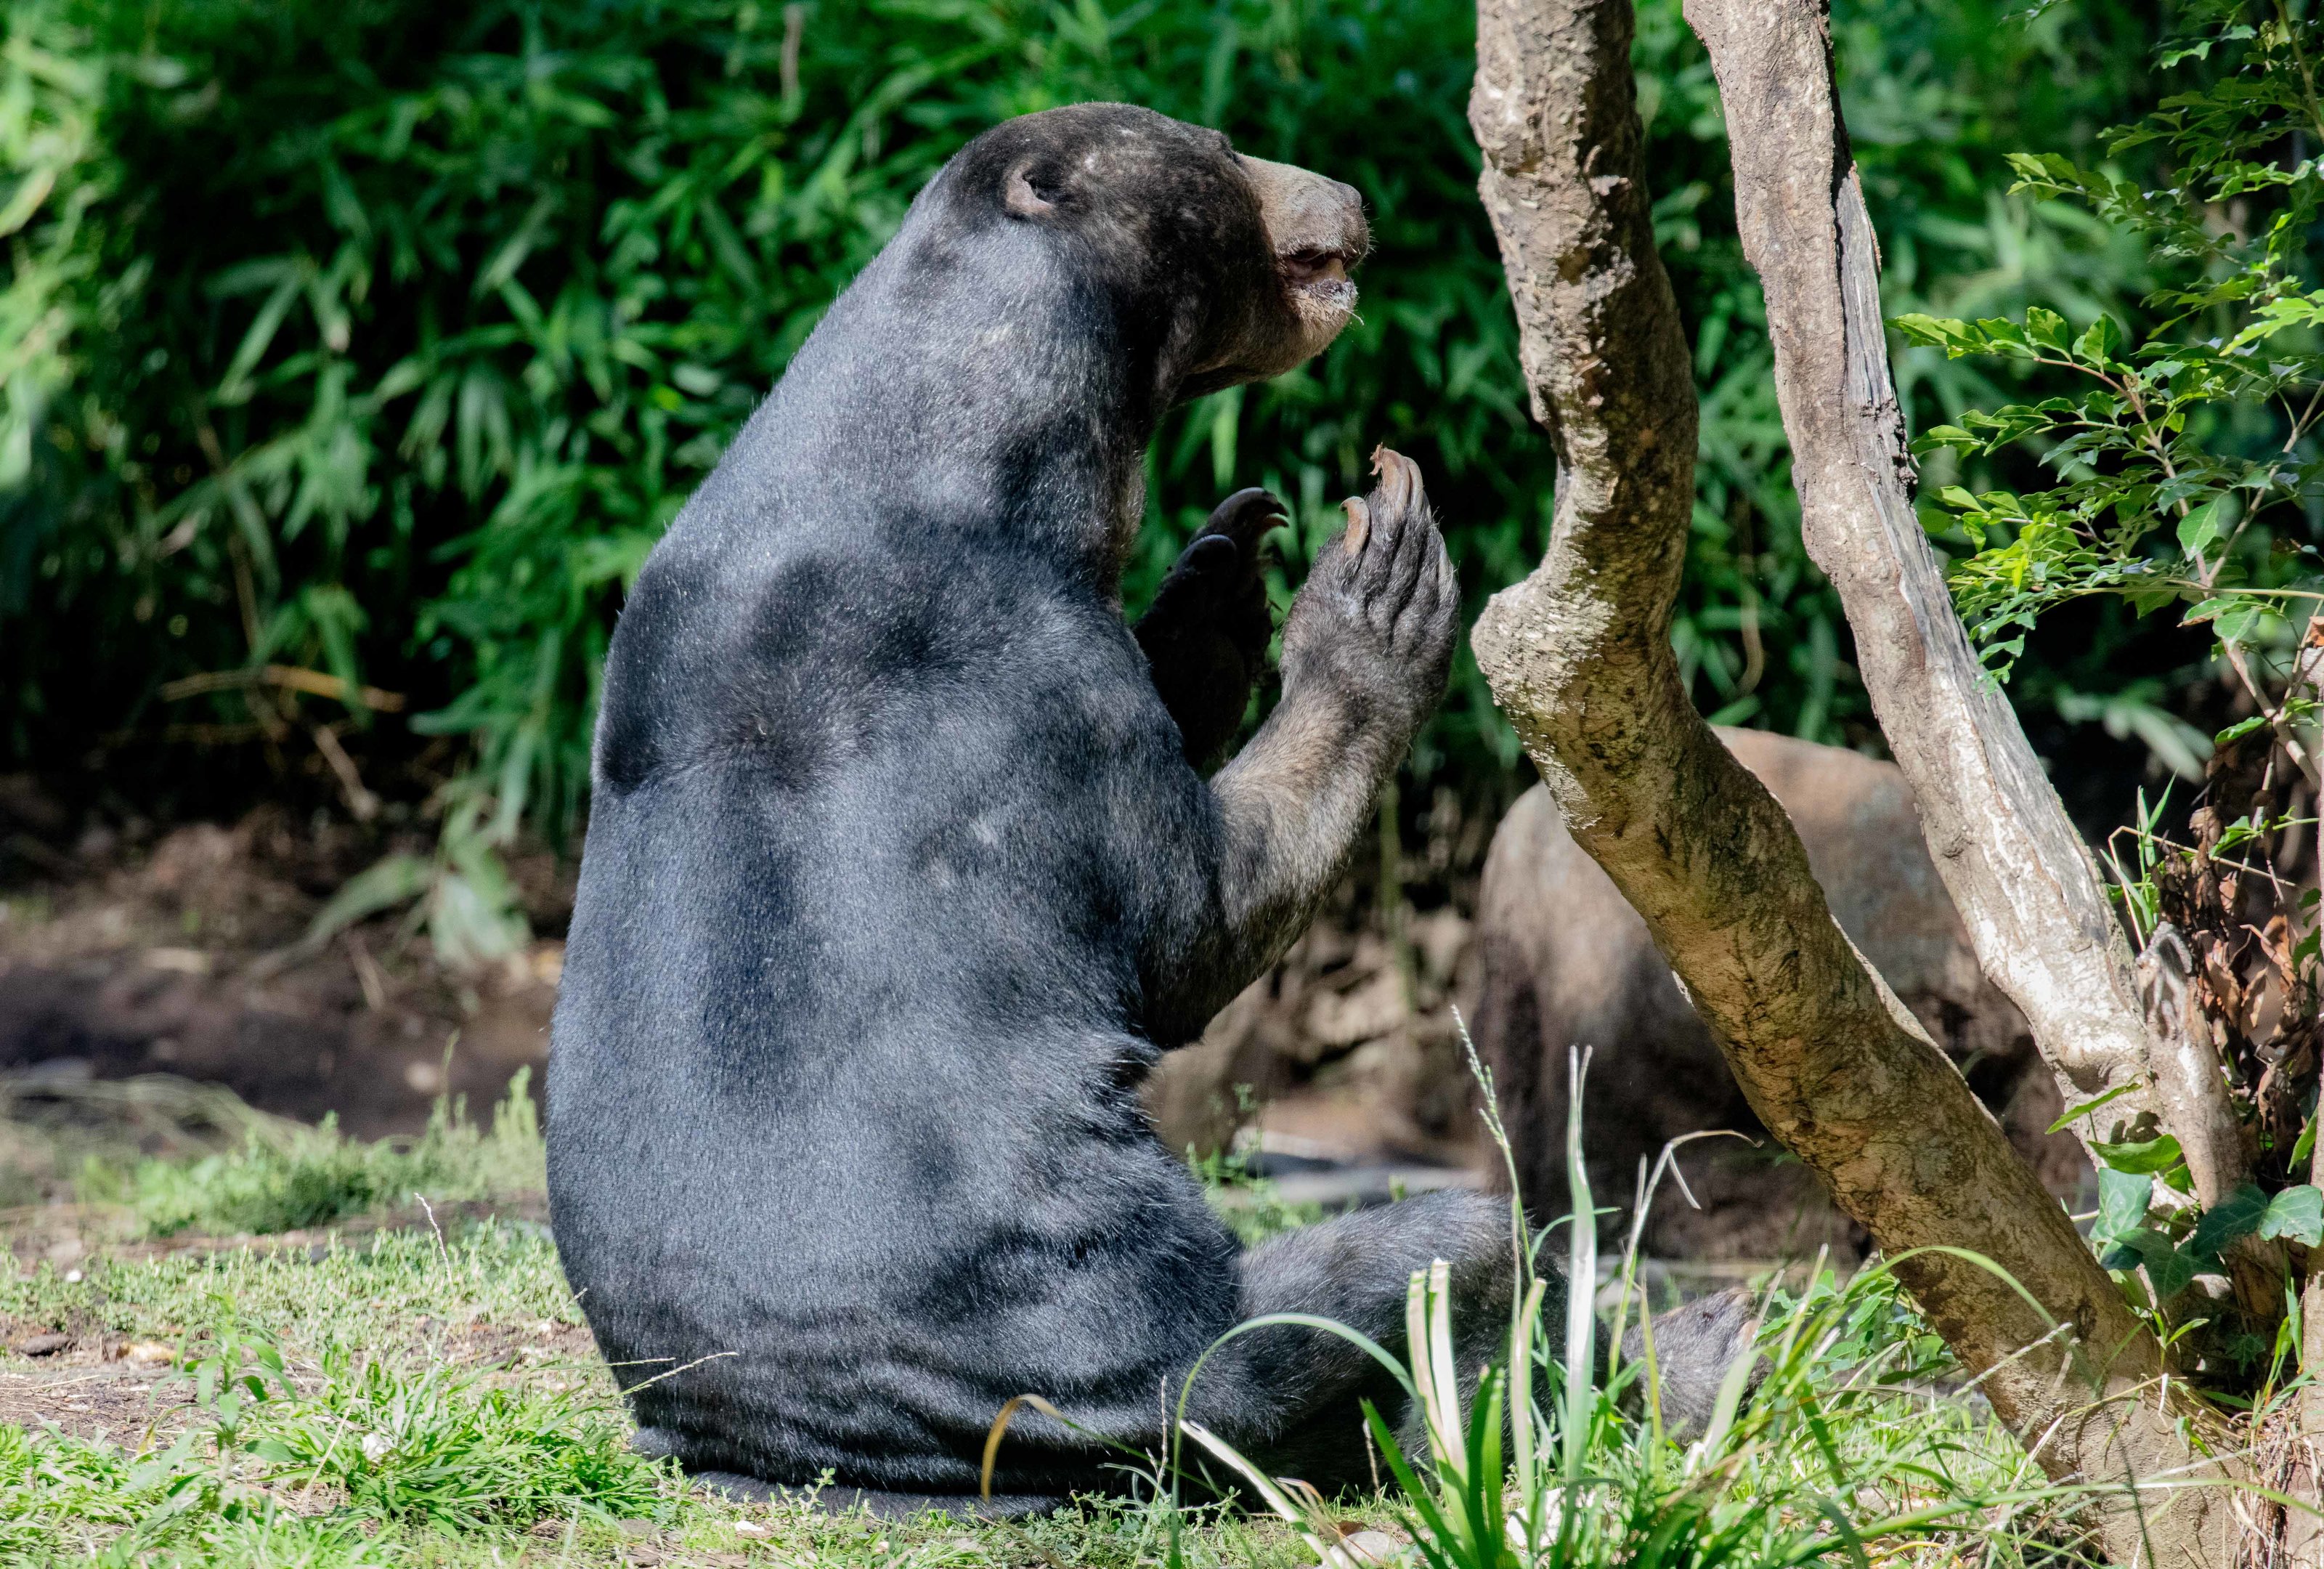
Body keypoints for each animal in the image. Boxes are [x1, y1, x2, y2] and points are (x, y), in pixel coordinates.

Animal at [546, 102, 1745, 1518]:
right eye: (1221, 146)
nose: (1350, 195)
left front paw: (1229, 559)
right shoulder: (1038, 695)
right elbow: (1193, 926)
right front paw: (1370, 587)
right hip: (1202, 1352)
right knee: (1465, 1259)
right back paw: (1693, 1354)